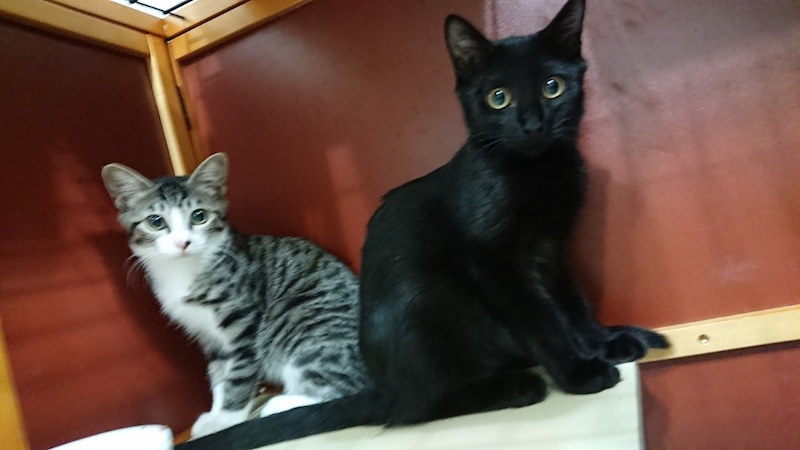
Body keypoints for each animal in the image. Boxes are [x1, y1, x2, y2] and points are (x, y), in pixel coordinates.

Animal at [101, 153, 368, 438]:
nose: (183, 243)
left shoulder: (244, 322)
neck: (185, 270)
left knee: (347, 389)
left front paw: (227, 420)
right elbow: (220, 375)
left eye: (199, 216)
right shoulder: (208, 336)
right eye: (156, 222)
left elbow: (239, 374)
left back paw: (281, 404)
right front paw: (217, 413)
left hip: (305, 322)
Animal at [177, 1, 667, 448]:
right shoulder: (494, 264)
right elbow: (540, 318)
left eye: (553, 87)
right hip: (431, 295)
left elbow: (571, 304)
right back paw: (512, 386)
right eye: (498, 97)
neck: (537, 171)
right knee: (416, 407)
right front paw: (579, 370)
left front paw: (603, 342)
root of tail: (382, 386)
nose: (531, 124)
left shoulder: (550, 251)